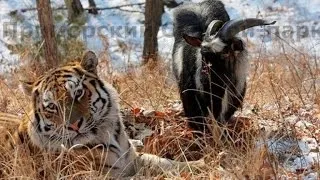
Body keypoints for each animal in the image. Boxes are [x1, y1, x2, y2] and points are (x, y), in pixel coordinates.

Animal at [0, 50, 204, 177]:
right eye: (51, 106)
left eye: (78, 93)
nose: (73, 125)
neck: (110, 136)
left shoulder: (132, 159)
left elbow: (165, 162)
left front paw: (202, 163)